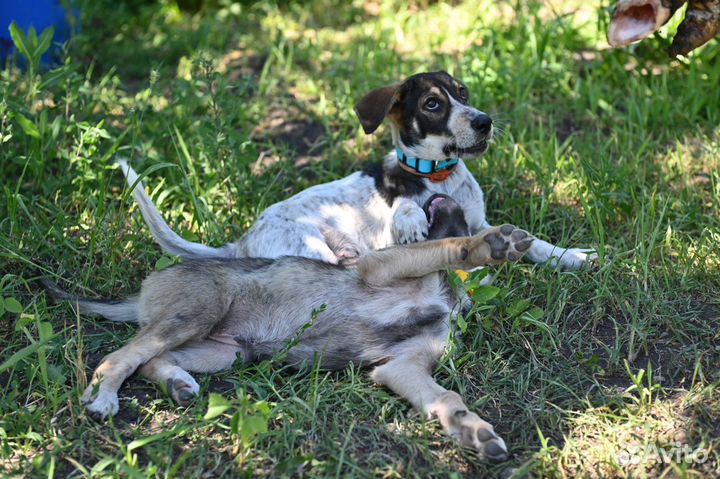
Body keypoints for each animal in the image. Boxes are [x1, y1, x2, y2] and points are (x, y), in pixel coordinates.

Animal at [42, 195, 532, 464]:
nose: (439, 195)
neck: (446, 296)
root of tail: (143, 290)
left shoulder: (401, 367)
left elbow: (447, 399)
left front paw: (473, 432)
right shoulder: (379, 266)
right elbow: (447, 246)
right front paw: (491, 245)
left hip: (224, 351)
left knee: (151, 360)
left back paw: (178, 384)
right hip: (200, 311)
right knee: (120, 357)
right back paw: (104, 396)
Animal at [118, 71, 600, 270]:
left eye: (463, 93)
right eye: (433, 103)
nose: (484, 122)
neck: (437, 175)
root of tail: (242, 242)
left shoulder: (481, 222)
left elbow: (538, 243)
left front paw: (571, 256)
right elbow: (405, 213)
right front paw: (409, 218)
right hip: (311, 249)